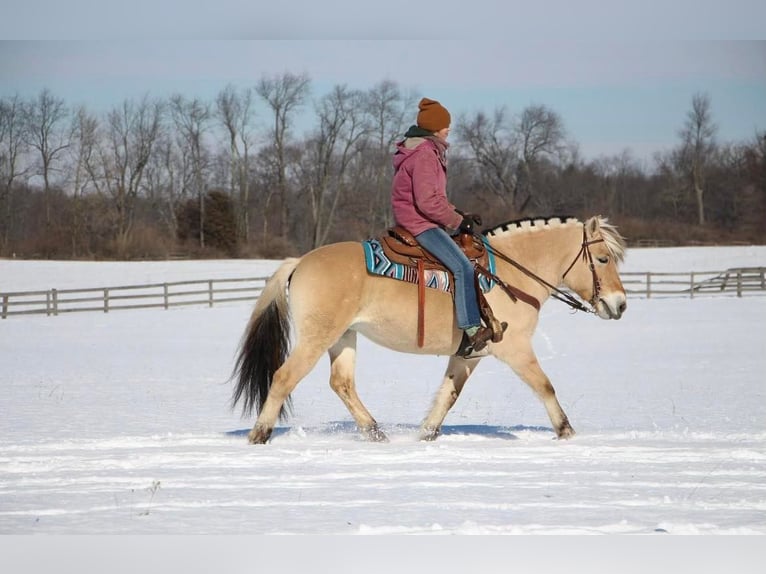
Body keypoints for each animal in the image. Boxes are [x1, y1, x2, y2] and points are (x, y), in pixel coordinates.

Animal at [234, 216, 632, 446]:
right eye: (602, 259)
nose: (620, 305)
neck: (509, 275)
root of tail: (300, 262)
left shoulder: (469, 354)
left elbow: (448, 395)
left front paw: (426, 434)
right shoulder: (516, 349)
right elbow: (545, 386)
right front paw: (567, 432)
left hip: (344, 337)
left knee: (341, 383)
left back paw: (375, 432)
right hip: (317, 337)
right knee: (284, 377)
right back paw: (259, 435)